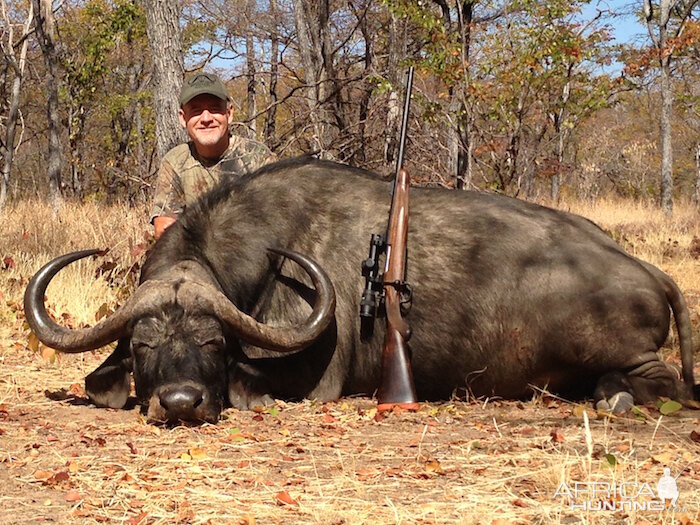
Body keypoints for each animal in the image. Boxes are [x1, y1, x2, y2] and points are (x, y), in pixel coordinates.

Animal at [24, 157, 696, 422]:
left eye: (214, 343)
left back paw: (615, 397)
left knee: (659, 380)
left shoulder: (313, 380)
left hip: (622, 353)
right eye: (142, 347)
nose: (180, 402)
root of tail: (643, 270)